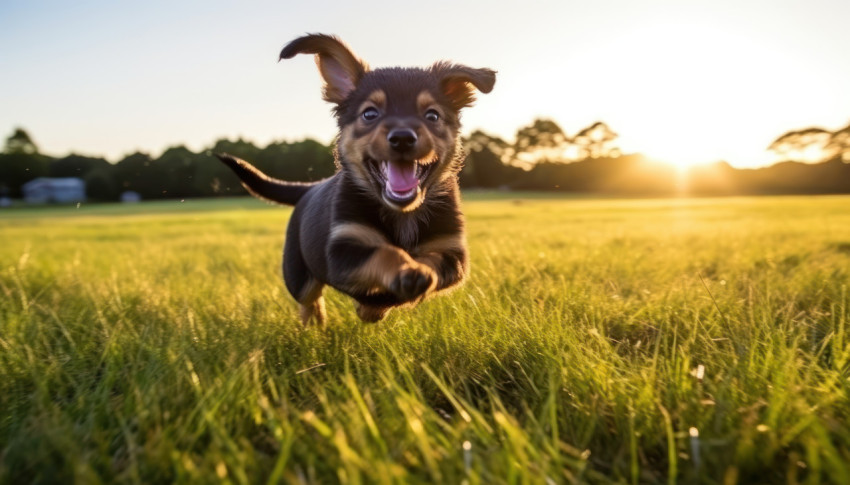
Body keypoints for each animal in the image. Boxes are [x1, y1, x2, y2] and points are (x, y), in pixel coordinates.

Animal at [219, 33, 494, 322]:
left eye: (432, 115)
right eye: (369, 114)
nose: (402, 138)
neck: (402, 213)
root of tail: (310, 188)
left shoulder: (453, 254)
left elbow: (430, 260)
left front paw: (414, 275)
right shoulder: (344, 249)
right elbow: (384, 253)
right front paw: (406, 271)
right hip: (297, 273)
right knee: (309, 300)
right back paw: (316, 325)